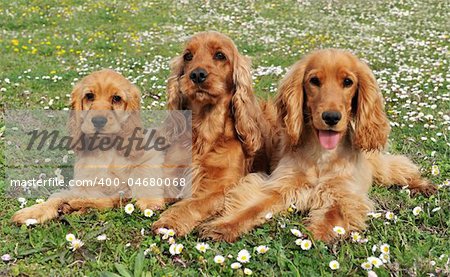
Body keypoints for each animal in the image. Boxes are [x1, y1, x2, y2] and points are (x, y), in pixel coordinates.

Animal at [12, 69, 165, 224]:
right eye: (89, 96)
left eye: (117, 98)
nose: (98, 121)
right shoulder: (87, 185)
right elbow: (57, 196)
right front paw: (33, 212)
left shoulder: (151, 154)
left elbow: (143, 172)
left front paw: (150, 202)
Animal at [151, 31, 270, 235]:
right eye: (188, 56)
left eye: (220, 55)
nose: (197, 74)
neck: (204, 131)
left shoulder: (222, 188)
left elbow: (192, 203)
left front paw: (169, 221)